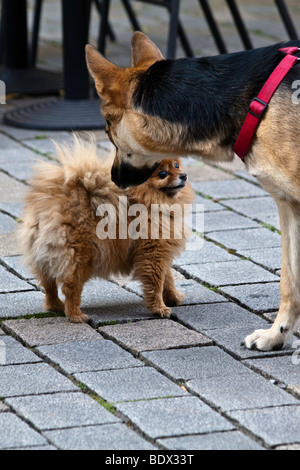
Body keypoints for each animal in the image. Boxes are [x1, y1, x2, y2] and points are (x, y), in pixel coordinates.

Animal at [18, 137, 193, 324]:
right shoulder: (153, 253)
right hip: (81, 259)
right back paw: (75, 315)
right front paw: (159, 308)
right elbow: (156, 283)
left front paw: (174, 297)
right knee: (70, 287)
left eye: (176, 165)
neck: (148, 199)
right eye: (162, 174)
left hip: (45, 257)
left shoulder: (161, 251)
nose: (183, 175)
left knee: (48, 284)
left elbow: (168, 278)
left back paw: (56, 306)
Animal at [85, 32, 300, 348]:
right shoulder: (289, 206)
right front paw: (276, 335)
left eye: (107, 131)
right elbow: (289, 280)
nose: (114, 178)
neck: (258, 102)